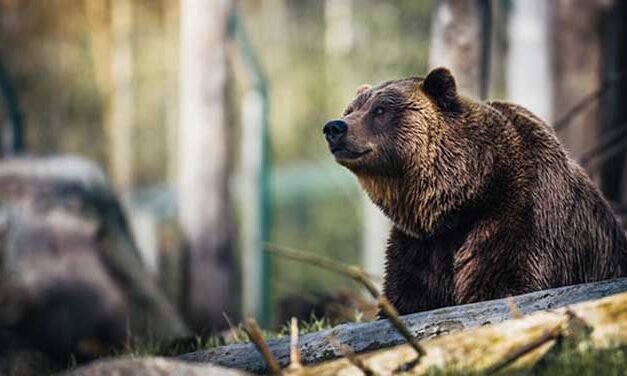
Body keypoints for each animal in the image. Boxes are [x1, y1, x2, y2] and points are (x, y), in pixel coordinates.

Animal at [324, 67, 627, 314]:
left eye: (380, 110)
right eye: (350, 110)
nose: (334, 127)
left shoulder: (520, 215)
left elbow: (504, 282)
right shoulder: (421, 246)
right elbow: (407, 296)